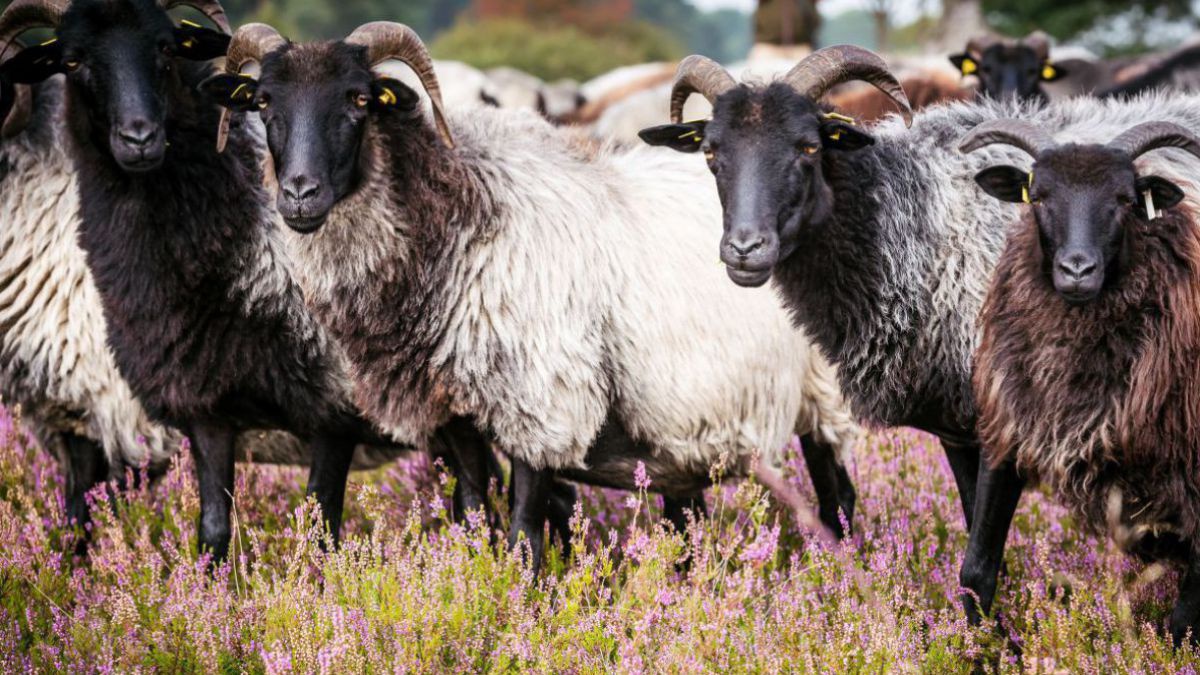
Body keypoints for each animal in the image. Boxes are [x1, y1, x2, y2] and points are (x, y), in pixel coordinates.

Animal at [201, 22, 868, 562]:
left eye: (359, 100)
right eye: (263, 102)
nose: (299, 195)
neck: (461, 222)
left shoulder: (544, 406)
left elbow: (524, 534)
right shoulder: (457, 418)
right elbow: (473, 519)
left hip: (824, 399)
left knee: (837, 500)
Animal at [955, 117, 1200, 638]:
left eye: (1125, 199)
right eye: (1039, 196)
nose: (1077, 270)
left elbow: (1184, 618)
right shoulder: (1011, 429)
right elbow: (976, 570)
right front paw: (990, 647)